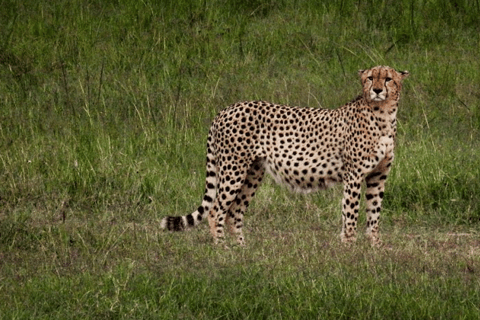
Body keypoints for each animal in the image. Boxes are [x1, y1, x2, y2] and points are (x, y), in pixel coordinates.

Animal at [160, 64, 408, 245]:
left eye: (388, 79)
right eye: (370, 78)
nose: (377, 90)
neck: (384, 115)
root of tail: (225, 109)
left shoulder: (378, 176)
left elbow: (374, 214)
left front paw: (374, 248)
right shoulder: (354, 175)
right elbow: (351, 214)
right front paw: (349, 249)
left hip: (252, 173)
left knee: (234, 212)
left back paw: (241, 251)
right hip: (234, 170)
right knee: (216, 211)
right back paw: (222, 249)